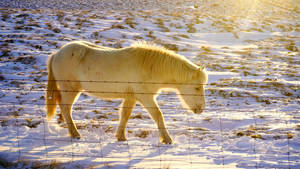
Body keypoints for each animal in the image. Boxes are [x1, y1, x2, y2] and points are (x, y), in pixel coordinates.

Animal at [45, 40, 207, 143]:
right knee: (66, 108)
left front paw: (120, 137)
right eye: (197, 87)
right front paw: (167, 139)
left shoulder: (131, 97)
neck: (150, 66)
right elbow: (158, 115)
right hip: (70, 89)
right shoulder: (146, 98)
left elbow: (125, 115)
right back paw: (75, 134)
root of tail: (56, 54)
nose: (201, 109)